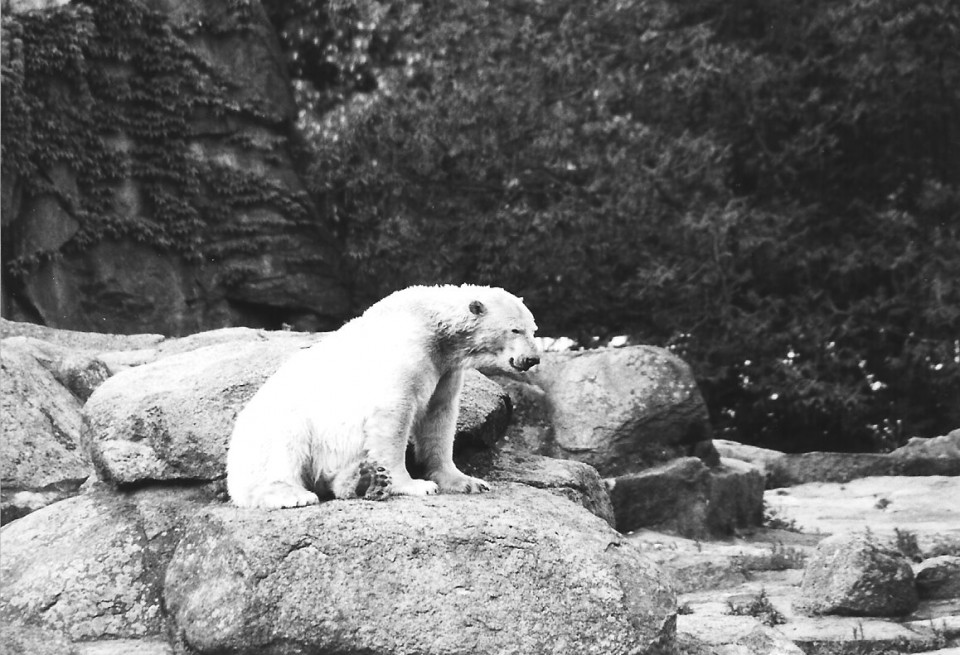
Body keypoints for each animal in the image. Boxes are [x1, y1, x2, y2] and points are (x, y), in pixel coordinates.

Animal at [227, 284, 540, 510]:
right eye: (515, 329)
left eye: (534, 329)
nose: (532, 359)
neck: (431, 324)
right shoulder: (407, 354)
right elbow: (394, 416)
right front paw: (414, 485)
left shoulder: (445, 370)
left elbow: (439, 418)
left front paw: (466, 481)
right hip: (277, 424)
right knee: (282, 450)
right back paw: (294, 495)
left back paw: (364, 479)